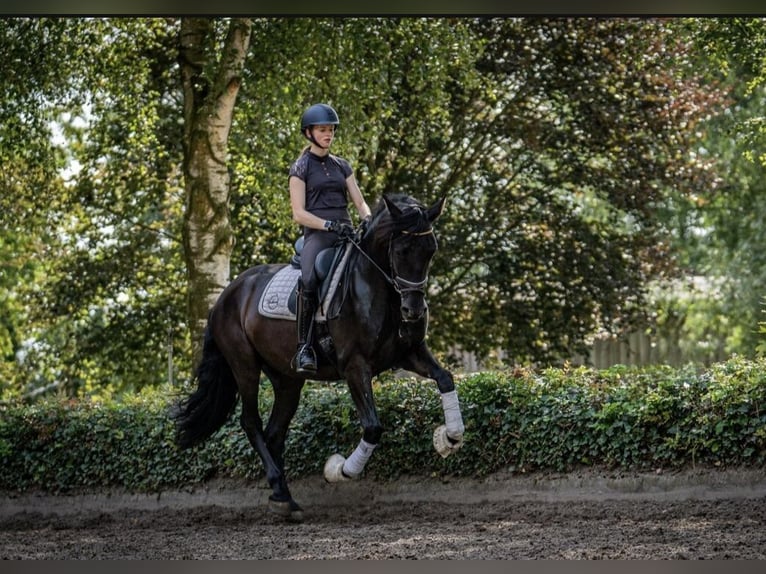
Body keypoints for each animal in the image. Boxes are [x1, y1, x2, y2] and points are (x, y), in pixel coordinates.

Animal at [172, 194, 464, 520]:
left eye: (431, 250)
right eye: (401, 250)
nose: (414, 312)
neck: (378, 289)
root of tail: (225, 296)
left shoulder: (409, 353)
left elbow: (446, 379)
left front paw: (449, 437)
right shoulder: (355, 366)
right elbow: (373, 427)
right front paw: (339, 470)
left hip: (287, 380)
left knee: (274, 432)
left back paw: (282, 495)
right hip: (244, 365)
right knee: (251, 422)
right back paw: (281, 490)